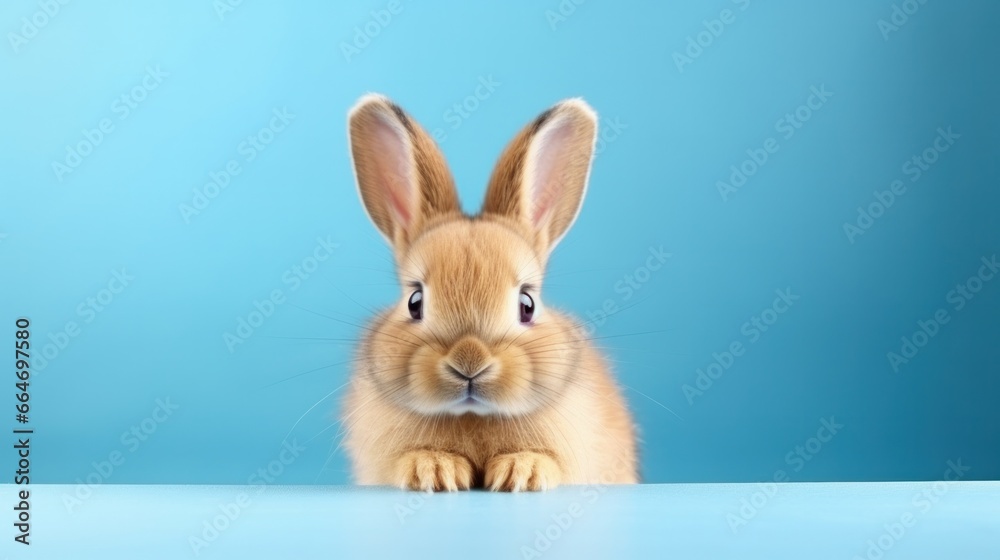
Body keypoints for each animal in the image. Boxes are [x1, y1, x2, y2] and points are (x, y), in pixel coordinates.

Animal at [340, 93, 637, 492]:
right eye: (415, 302)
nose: (470, 362)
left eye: (527, 304)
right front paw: (434, 470)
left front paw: (521, 472)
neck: (473, 415)